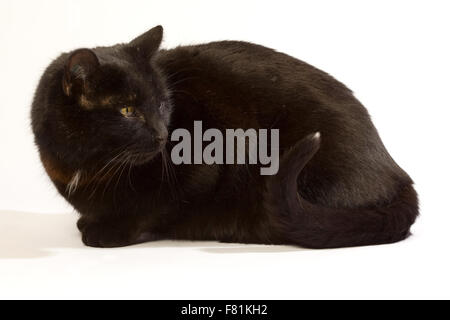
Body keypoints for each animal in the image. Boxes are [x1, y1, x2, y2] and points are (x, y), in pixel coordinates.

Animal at [31, 26, 418, 249]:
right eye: (127, 110)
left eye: (161, 103)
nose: (162, 134)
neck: (91, 167)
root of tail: (399, 174)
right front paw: (90, 221)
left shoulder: (207, 164)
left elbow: (156, 207)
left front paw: (111, 232)